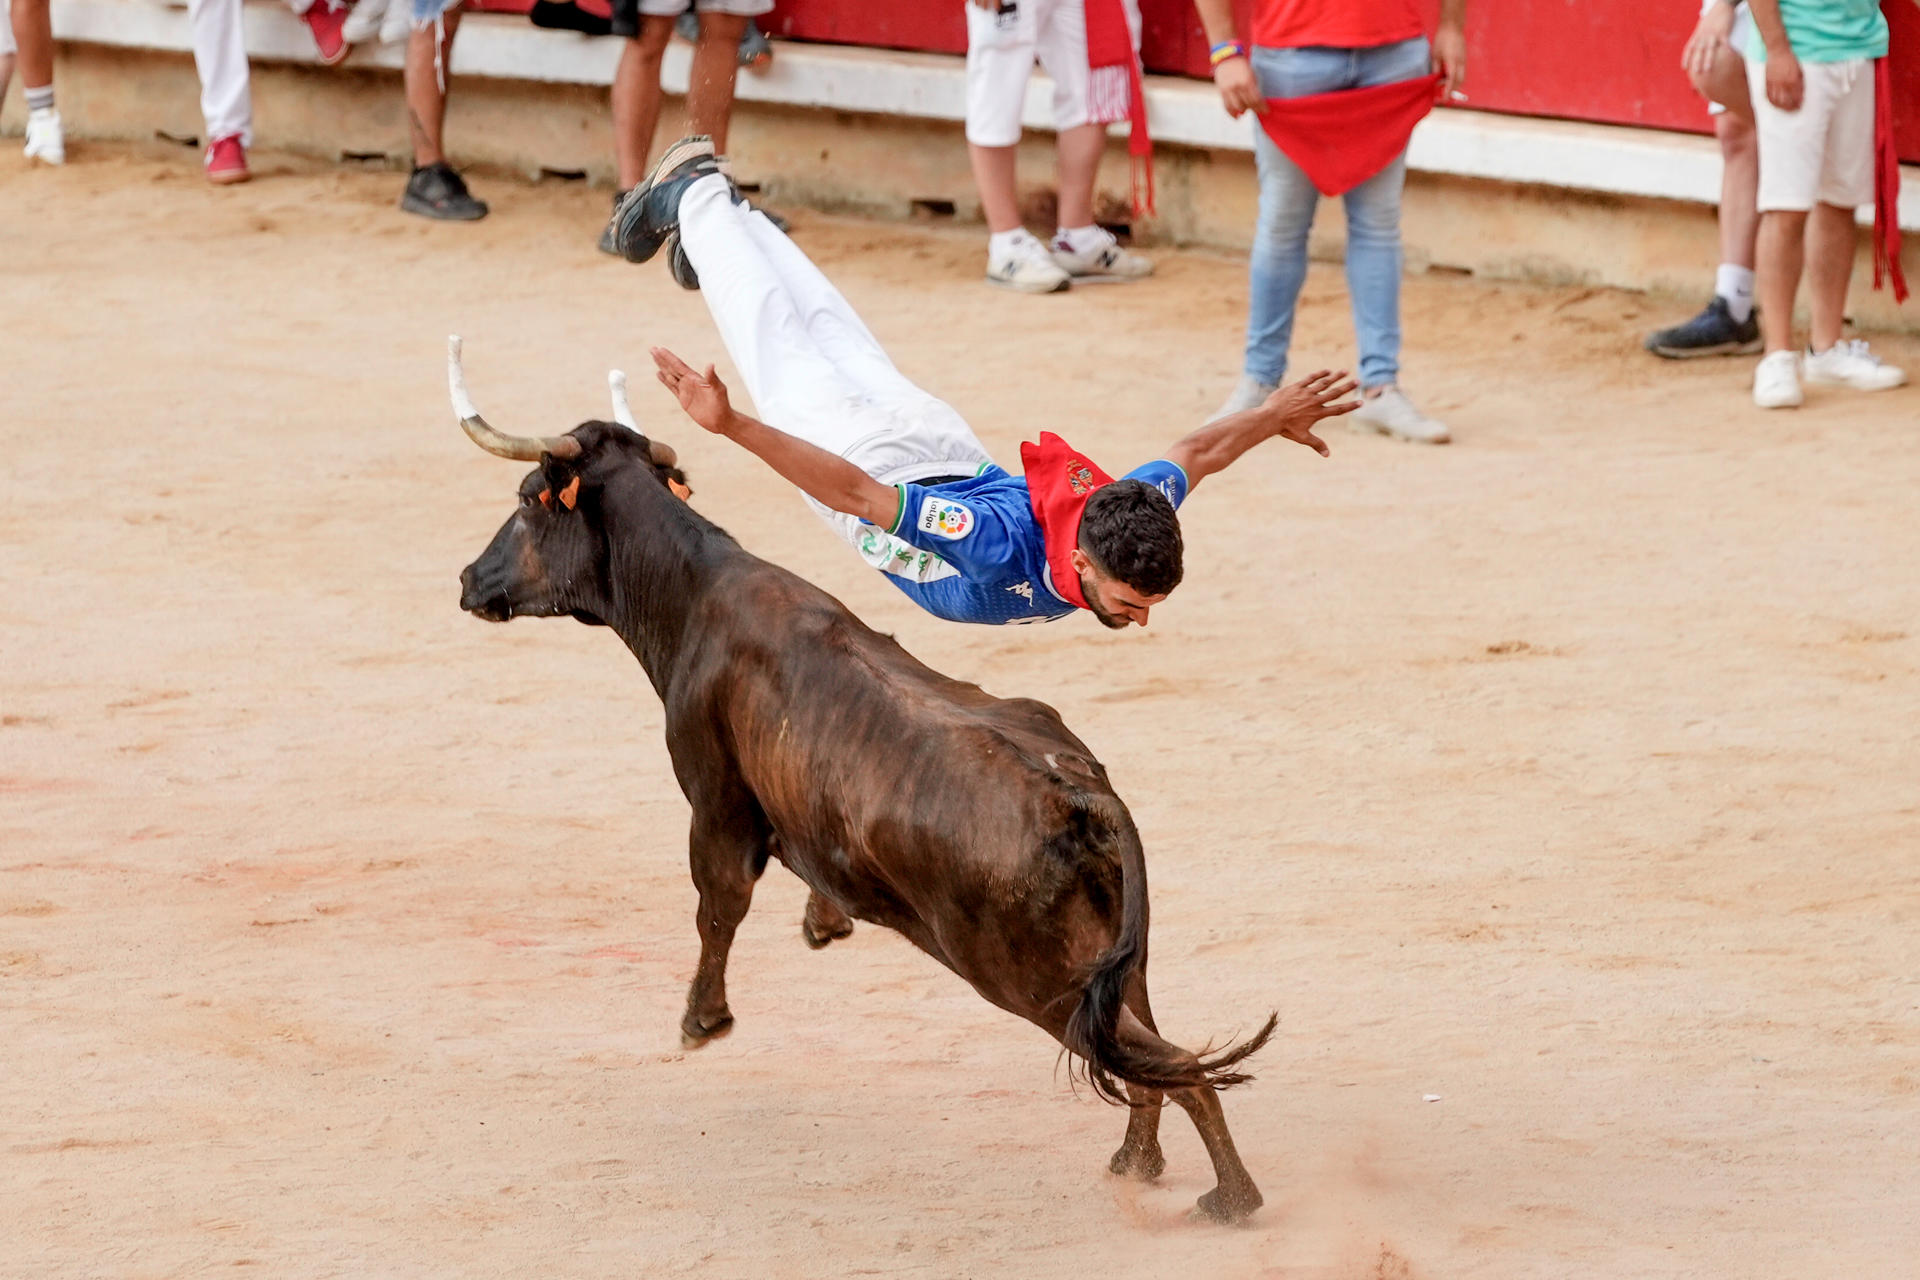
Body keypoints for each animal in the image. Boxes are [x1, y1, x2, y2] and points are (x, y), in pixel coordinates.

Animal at [451, 339, 1282, 1220]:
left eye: (527, 501)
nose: (469, 580)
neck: (695, 592)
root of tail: (1078, 794)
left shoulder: (712, 798)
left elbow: (718, 906)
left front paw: (701, 1021)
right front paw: (825, 919)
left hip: (1030, 978)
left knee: (1173, 1066)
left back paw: (1231, 1199)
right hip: (1115, 964)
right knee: (1147, 1056)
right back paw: (1139, 1161)